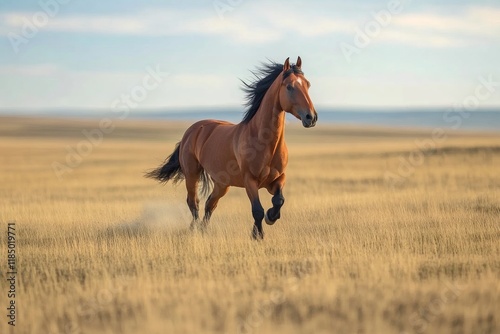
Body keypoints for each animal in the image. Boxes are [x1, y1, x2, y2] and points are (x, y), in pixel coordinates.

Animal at [146, 56, 316, 240]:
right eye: (290, 87)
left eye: (308, 84)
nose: (311, 117)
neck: (264, 142)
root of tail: (192, 130)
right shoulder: (250, 181)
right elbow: (257, 210)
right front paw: (258, 235)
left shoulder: (278, 179)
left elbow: (278, 201)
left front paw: (271, 217)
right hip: (192, 174)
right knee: (194, 203)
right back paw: (195, 230)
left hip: (222, 184)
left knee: (210, 204)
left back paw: (203, 230)